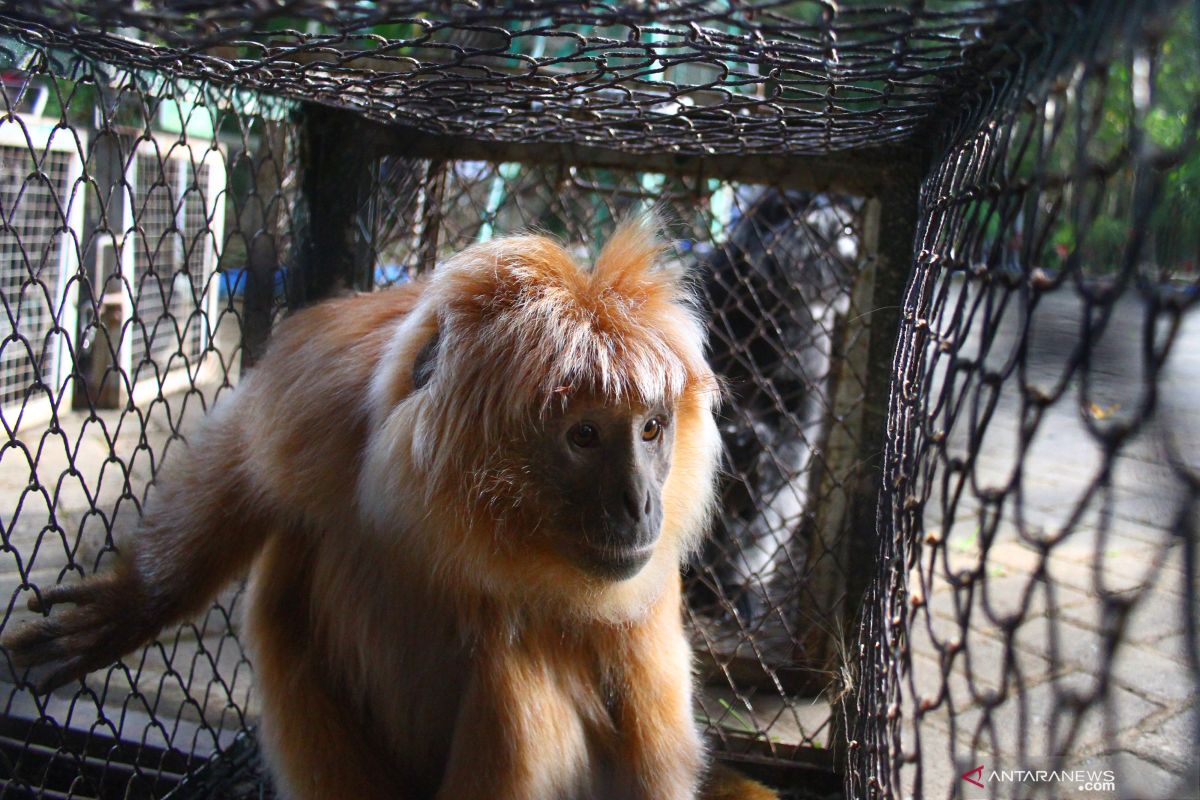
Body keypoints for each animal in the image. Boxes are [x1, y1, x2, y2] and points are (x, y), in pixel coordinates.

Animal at [4, 217, 777, 800]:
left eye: (650, 429)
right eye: (585, 436)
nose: (641, 500)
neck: (445, 517)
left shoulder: (639, 580)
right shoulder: (330, 390)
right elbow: (244, 456)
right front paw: (134, 603)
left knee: (516, 657)